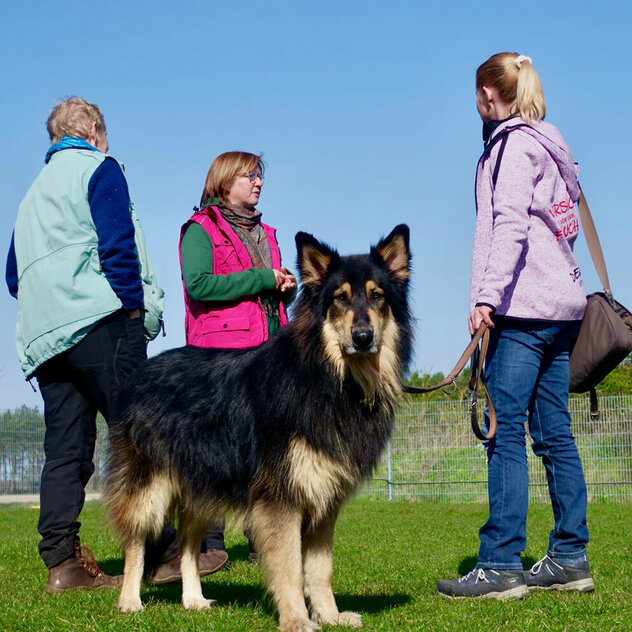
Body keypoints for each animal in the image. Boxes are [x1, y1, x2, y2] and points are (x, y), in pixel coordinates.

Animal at [107, 225, 414, 628]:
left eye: (377, 297)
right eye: (340, 300)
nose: (363, 337)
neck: (329, 378)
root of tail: (137, 376)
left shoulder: (323, 499)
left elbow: (321, 569)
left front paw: (330, 616)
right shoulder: (280, 499)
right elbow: (290, 567)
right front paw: (297, 620)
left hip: (201, 488)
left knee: (188, 543)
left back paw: (193, 599)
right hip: (150, 485)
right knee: (136, 540)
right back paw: (129, 600)